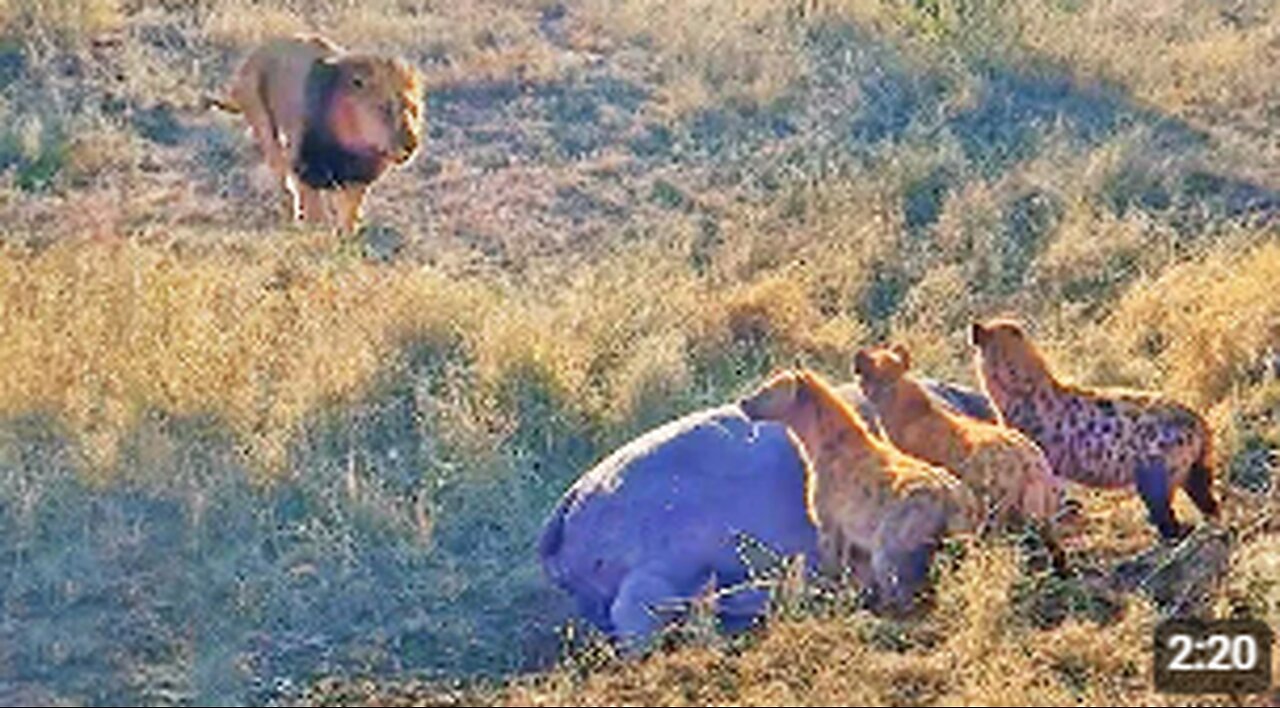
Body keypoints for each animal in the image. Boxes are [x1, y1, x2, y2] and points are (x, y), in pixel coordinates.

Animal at [209, 34, 424, 233]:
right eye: (384, 108)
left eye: (413, 109)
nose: (411, 144)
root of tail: (253, 55)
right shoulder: (306, 168)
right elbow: (316, 212)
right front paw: (316, 235)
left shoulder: (357, 179)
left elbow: (349, 216)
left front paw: (345, 239)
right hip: (263, 121)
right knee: (281, 174)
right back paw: (289, 213)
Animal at [732, 366, 977, 609]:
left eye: (767, 390)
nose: (742, 402)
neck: (822, 444)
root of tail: (953, 497)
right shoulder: (852, 531)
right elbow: (855, 569)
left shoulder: (828, 519)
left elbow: (832, 562)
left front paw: (829, 595)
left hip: (896, 534)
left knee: (893, 576)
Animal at [972, 317, 1213, 537]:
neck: (1020, 392)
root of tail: (1198, 419)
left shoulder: (1040, 457)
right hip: (1195, 467)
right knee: (1207, 499)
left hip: (1155, 468)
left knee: (1163, 510)